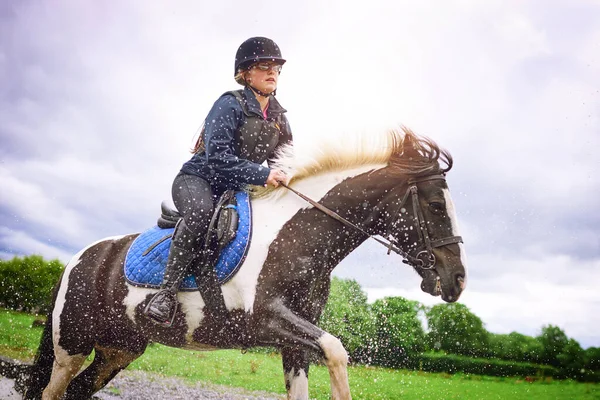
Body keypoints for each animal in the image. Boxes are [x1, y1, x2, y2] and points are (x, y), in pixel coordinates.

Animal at [23, 128, 466, 400]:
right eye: (435, 204)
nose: (457, 281)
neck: (296, 238)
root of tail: (80, 258)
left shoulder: (295, 340)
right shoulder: (266, 320)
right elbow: (337, 351)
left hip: (119, 350)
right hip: (71, 345)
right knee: (51, 391)